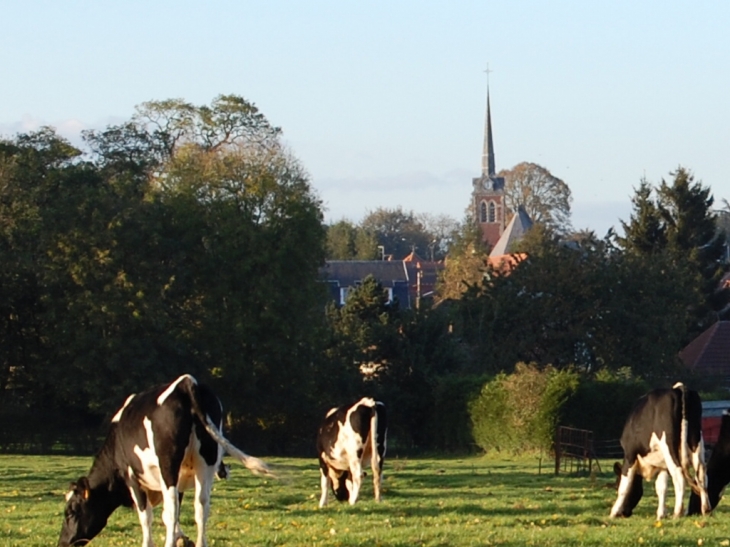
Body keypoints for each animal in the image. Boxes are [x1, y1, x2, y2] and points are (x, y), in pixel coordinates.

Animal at [57, 374, 270, 547]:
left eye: (71, 512)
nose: (62, 543)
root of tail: (186, 382)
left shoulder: (132, 476)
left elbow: (147, 515)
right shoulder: (181, 477)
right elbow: (171, 515)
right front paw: (181, 538)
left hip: (168, 464)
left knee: (172, 505)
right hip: (206, 461)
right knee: (201, 504)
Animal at [604, 384, 708, 520]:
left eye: (616, 486)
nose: (624, 514)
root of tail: (678, 389)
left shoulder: (630, 455)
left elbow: (625, 485)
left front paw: (614, 512)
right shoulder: (662, 465)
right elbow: (661, 487)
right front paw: (661, 514)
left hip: (668, 445)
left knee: (679, 475)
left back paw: (677, 513)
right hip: (696, 442)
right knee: (701, 473)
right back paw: (706, 509)